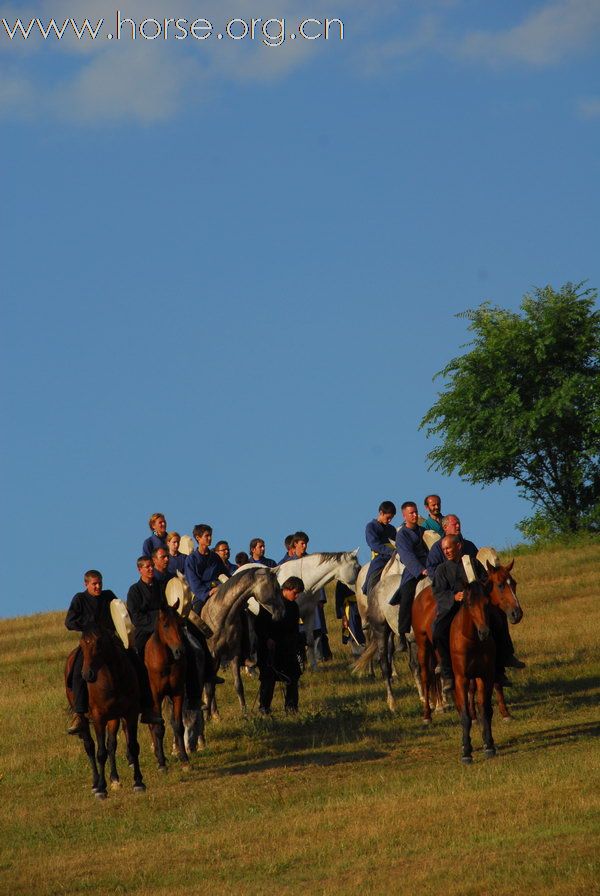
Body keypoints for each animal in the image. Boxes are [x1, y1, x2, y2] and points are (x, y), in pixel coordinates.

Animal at [65, 632, 146, 800]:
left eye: (99, 643)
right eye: (82, 644)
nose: (87, 674)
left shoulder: (130, 713)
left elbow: (131, 746)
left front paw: (138, 782)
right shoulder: (98, 718)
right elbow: (100, 753)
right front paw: (102, 788)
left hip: (113, 718)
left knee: (111, 745)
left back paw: (114, 778)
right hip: (85, 719)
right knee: (90, 746)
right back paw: (96, 783)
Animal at [143, 600, 188, 768]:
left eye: (180, 623)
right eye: (166, 625)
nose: (180, 651)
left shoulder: (177, 693)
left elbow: (178, 725)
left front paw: (184, 758)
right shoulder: (156, 697)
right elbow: (158, 728)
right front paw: (162, 763)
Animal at [450, 580, 496, 764]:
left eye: (487, 603)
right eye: (469, 604)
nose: (485, 632)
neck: (473, 642)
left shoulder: (485, 676)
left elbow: (485, 710)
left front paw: (489, 745)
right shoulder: (461, 679)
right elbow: (465, 716)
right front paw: (466, 753)